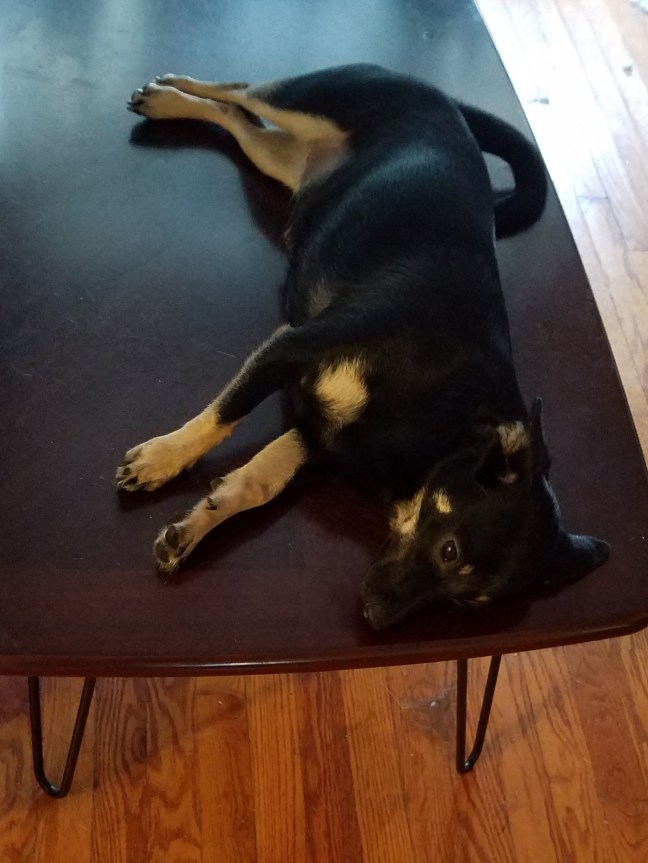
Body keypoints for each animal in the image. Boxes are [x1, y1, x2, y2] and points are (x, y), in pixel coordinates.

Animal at [117, 64, 609, 629]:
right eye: (450, 552)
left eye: (469, 602)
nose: (376, 619)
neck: (443, 430)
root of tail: (447, 104)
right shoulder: (291, 348)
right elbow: (222, 418)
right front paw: (161, 460)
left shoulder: (318, 437)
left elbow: (256, 485)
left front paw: (191, 531)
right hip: (308, 98)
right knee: (240, 91)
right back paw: (167, 95)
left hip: (282, 159)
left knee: (240, 121)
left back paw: (173, 103)